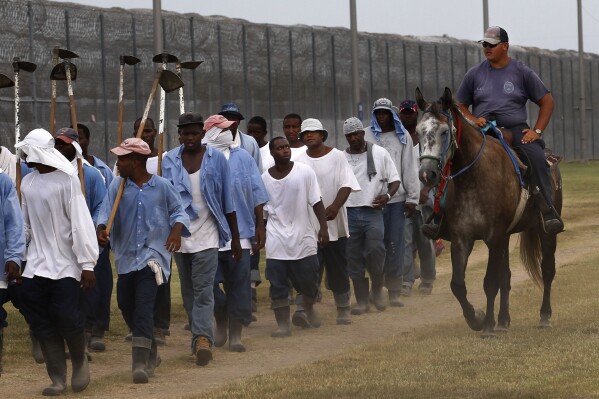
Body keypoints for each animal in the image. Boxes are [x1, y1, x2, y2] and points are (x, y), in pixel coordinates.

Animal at [418, 86, 564, 338]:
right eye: (418, 131)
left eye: (444, 132)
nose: (427, 174)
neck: (474, 177)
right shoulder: (463, 238)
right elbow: (458, 284)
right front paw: (476, 318)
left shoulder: (493, 236)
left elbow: (489, 282)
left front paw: (486, 325)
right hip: (505, 237)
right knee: (506, 276)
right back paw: (504, 320)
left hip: (544, 231)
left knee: (547, 269)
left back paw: (544, 316)